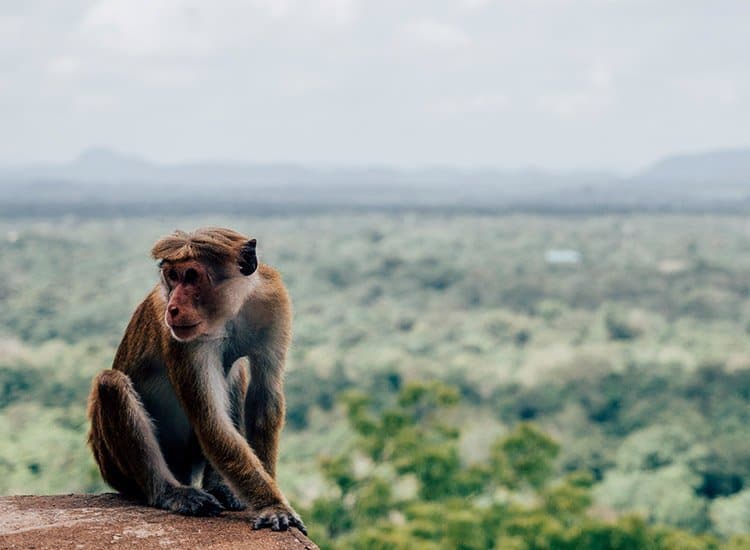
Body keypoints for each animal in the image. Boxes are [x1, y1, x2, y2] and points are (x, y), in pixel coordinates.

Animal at [89, 227, 308, 536]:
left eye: (192, 276)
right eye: (172, 276)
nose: (173, 308)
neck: (229, 313)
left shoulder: (273, 301)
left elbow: (265, 397)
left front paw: (268, 496)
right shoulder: (184, 340)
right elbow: (210, 420)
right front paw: (273, 505)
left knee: (237, 372)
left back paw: (221, 488)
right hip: (112, 465)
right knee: (111, 384)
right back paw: (168, 492)